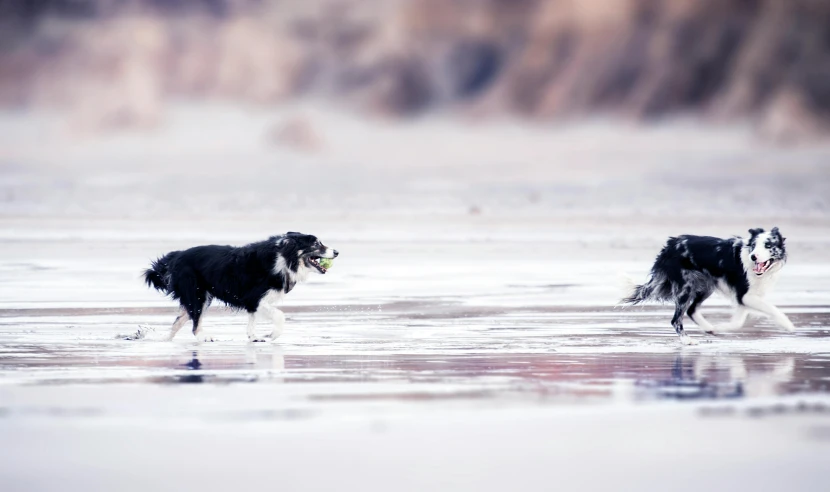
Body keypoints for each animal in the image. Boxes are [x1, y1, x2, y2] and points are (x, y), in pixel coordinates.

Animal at [624, 229, 792, 344]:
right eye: (754, 246)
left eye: (768, 245)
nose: (753, 256)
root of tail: (669, 246)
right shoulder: (744, 295)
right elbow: (772, 309)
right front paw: (787, 325)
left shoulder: (746, 298)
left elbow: (738, 321)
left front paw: (720, 328)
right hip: (686, 289)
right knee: (676, 319)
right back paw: (687, 340)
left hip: (706, 286)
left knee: (691, 310)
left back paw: (708, 328)